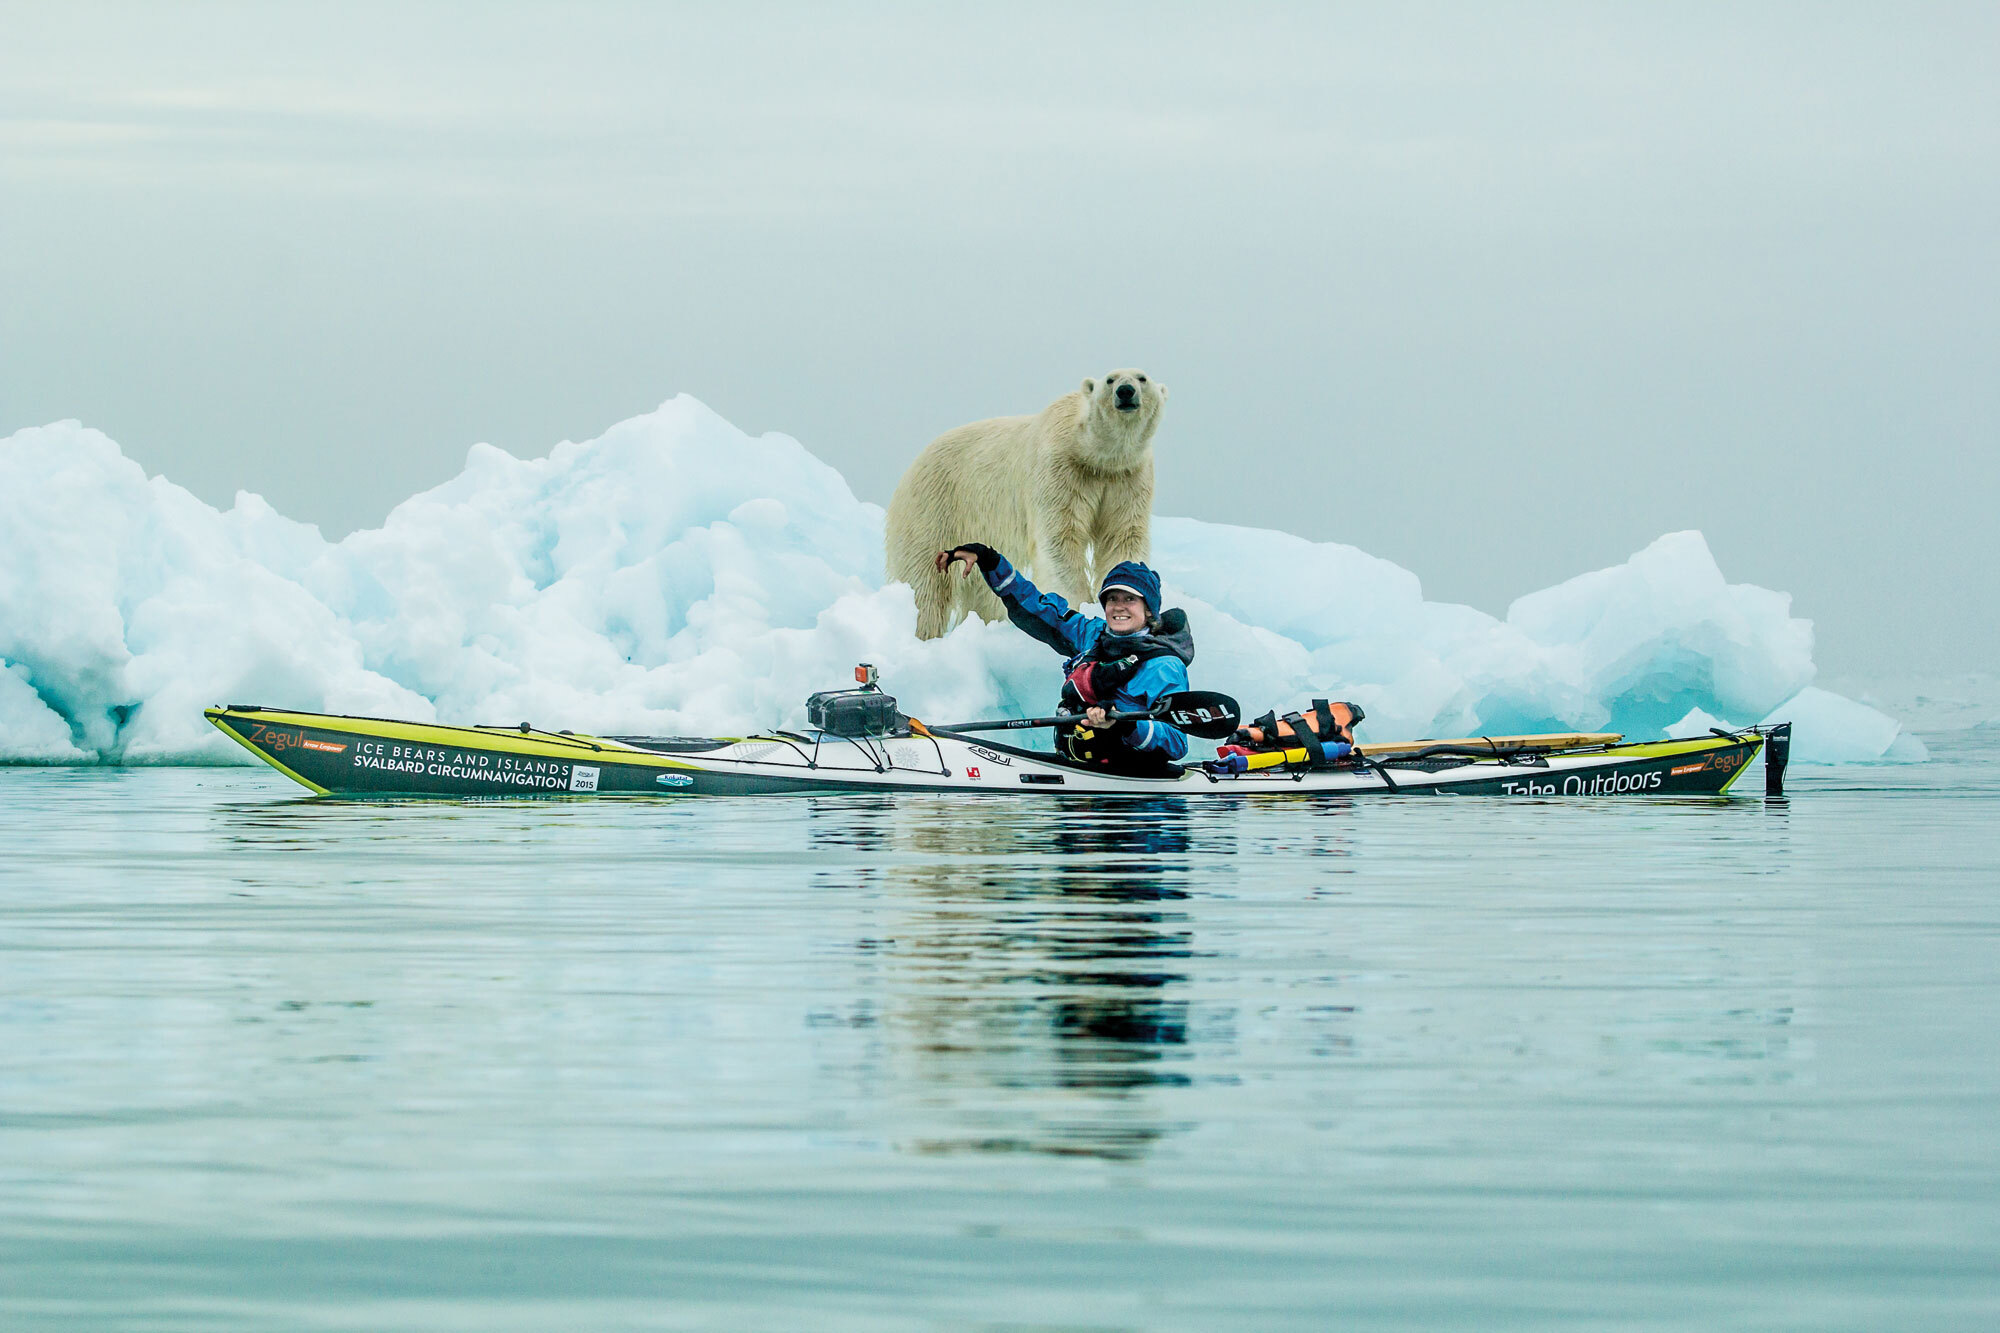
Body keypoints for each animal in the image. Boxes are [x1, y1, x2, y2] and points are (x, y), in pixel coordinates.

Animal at [884, 364, 1168, 632]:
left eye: (1142, 378)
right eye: (1110, 379)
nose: (1125, 391)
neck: (1095, 456)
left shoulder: (1126, 478)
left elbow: (1122, 536)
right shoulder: (1059, 470)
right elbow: (1060, 539)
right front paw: (1079, 603)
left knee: (981, 592)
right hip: (934, 505)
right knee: (924, 584)